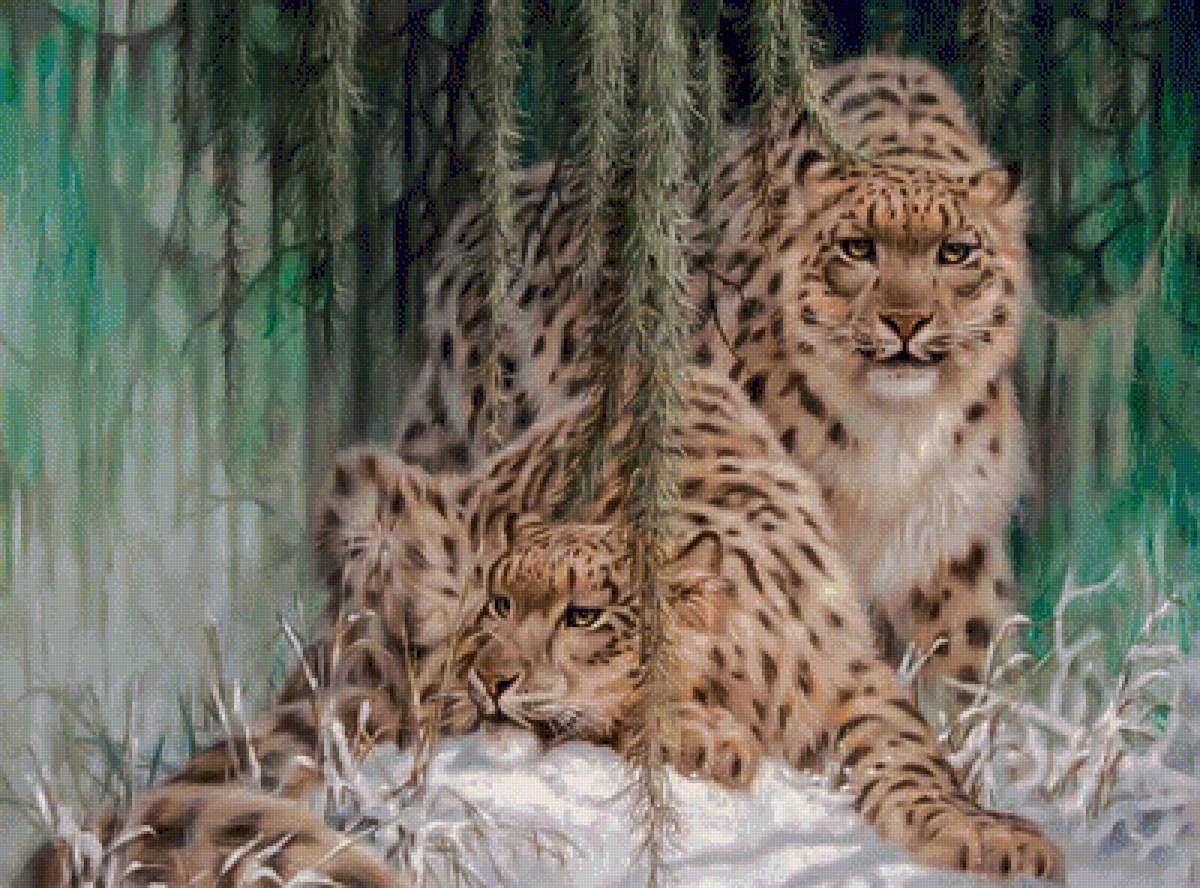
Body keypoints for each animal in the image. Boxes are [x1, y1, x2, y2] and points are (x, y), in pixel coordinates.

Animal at [17, 369, 1062, 885]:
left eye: (583, 614)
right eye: (499, 604)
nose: (495, 675)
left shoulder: (854, 683)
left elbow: (917, 764)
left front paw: (994, 838)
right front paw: (706, 740)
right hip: (381, 522)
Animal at [395, 52, 1033, 701]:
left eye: (955, 252)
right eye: (857, 248)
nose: (906, 322)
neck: (893, 437)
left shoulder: (950, 547)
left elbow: (970, 665)